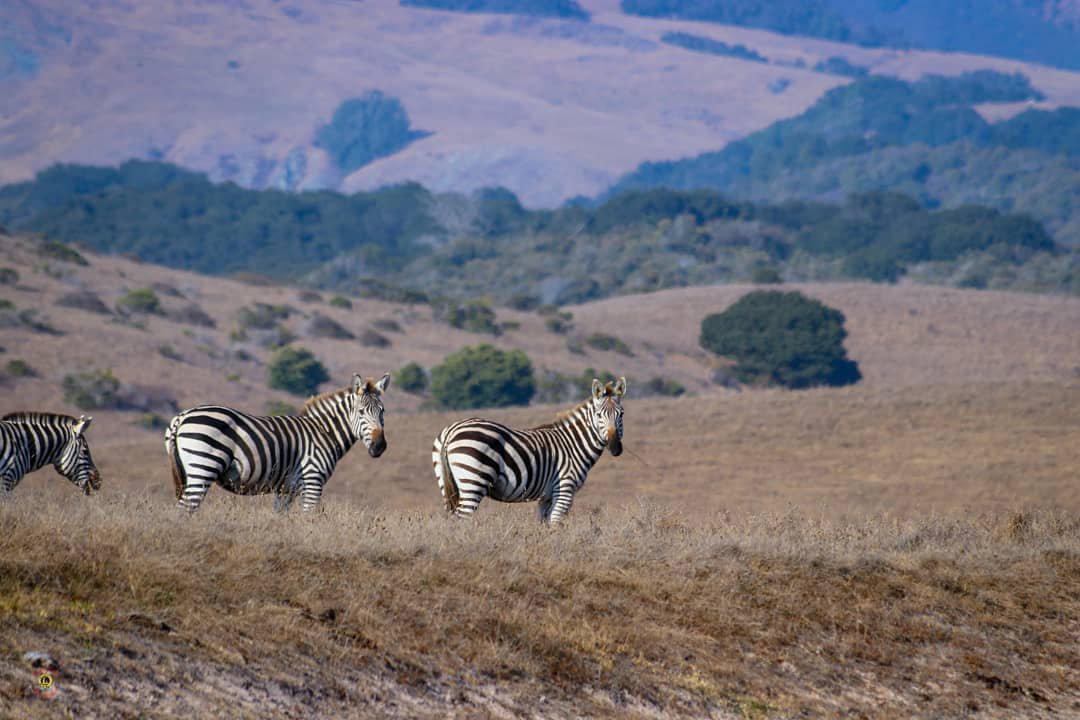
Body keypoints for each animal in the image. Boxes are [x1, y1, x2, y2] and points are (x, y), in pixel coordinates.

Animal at [165, 373, 390, 513]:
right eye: (361, 412)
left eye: (383, 411)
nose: (380, 446)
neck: (324, 432)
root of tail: (182, 417)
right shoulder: (313, 481)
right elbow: (309, 519)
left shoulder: (286, 490)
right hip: (203, 467)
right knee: (185, 510)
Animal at [433, 377, 626, 524]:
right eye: (599, 415)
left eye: (621, 413)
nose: (615, 446)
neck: (573, 444)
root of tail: (452, 430)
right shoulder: (564, 489)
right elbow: (556, 526)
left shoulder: (546, 497)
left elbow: (544, 525)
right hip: (473, 481)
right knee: (462, 519)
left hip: (447, 484)